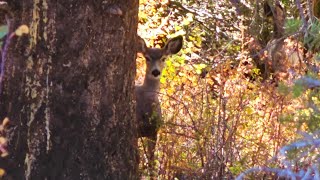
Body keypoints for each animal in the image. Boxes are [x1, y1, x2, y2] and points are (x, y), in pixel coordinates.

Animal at [135, 35, 182, 176]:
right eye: (147, 57)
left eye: (163, 58)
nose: (155, 72)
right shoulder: (135, 129)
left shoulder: (154, 130)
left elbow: (151, 162)